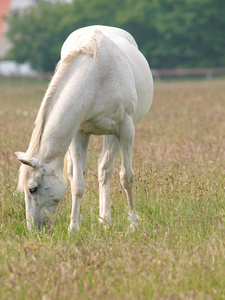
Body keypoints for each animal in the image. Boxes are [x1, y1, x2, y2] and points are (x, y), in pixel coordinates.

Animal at [15, 25, 153, 232]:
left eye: (32, 189)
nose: (35, 231)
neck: (96, 79)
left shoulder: (125, 130)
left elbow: (127, 177)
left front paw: (134, 224)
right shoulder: (79, 133)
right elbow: (77, 184)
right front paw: (74, 227)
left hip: (113, 134)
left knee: (105, 169)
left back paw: (106, 220)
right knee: (87, 172)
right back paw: (104, 220)